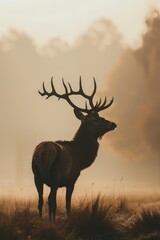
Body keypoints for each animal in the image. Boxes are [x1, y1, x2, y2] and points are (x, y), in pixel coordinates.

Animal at [31, 76, 117, 220]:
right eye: (94, 120)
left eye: (100, 116)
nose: (113, 124)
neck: (80, 157)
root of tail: (44, 152)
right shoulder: (72, 179)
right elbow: (68, 204)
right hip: (55, 175)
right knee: (51, 200)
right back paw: (51, 222)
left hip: (36, 174)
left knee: (41, 201)